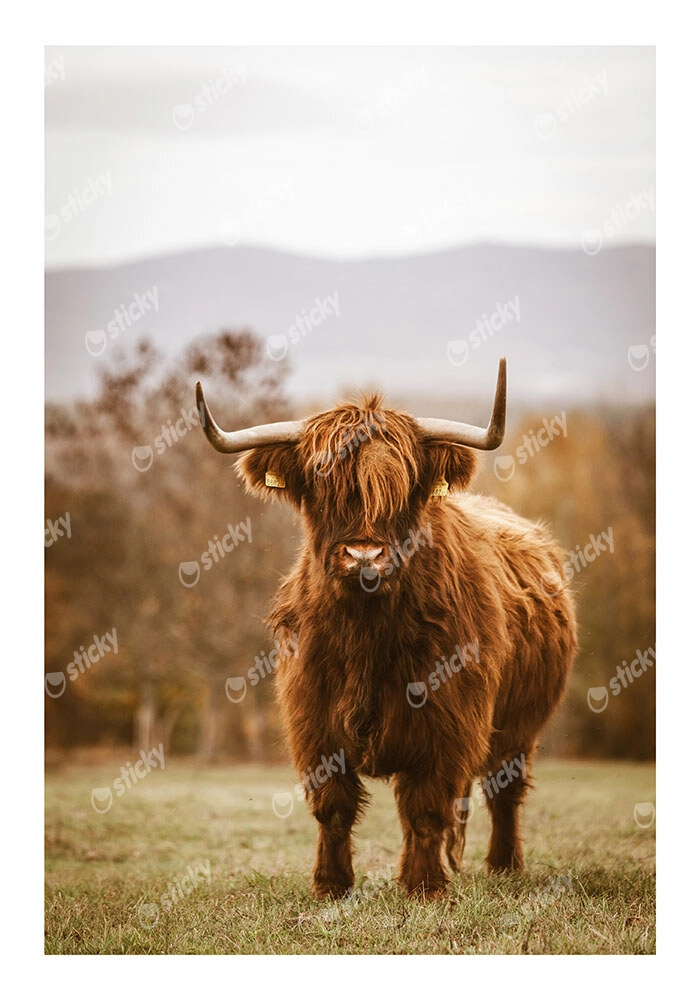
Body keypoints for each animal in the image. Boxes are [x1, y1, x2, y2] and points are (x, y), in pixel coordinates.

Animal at [195, 359, 577, 899]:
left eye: (404, 486)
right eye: (322, 484)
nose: (365, 556)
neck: (367, 634)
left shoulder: (447, 720)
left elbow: (426, 805)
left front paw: (424, 886)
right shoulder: (313, 720)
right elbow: (333, 806)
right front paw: (331, 885)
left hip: (522, 724)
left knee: (503, 790)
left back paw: (504, 866)